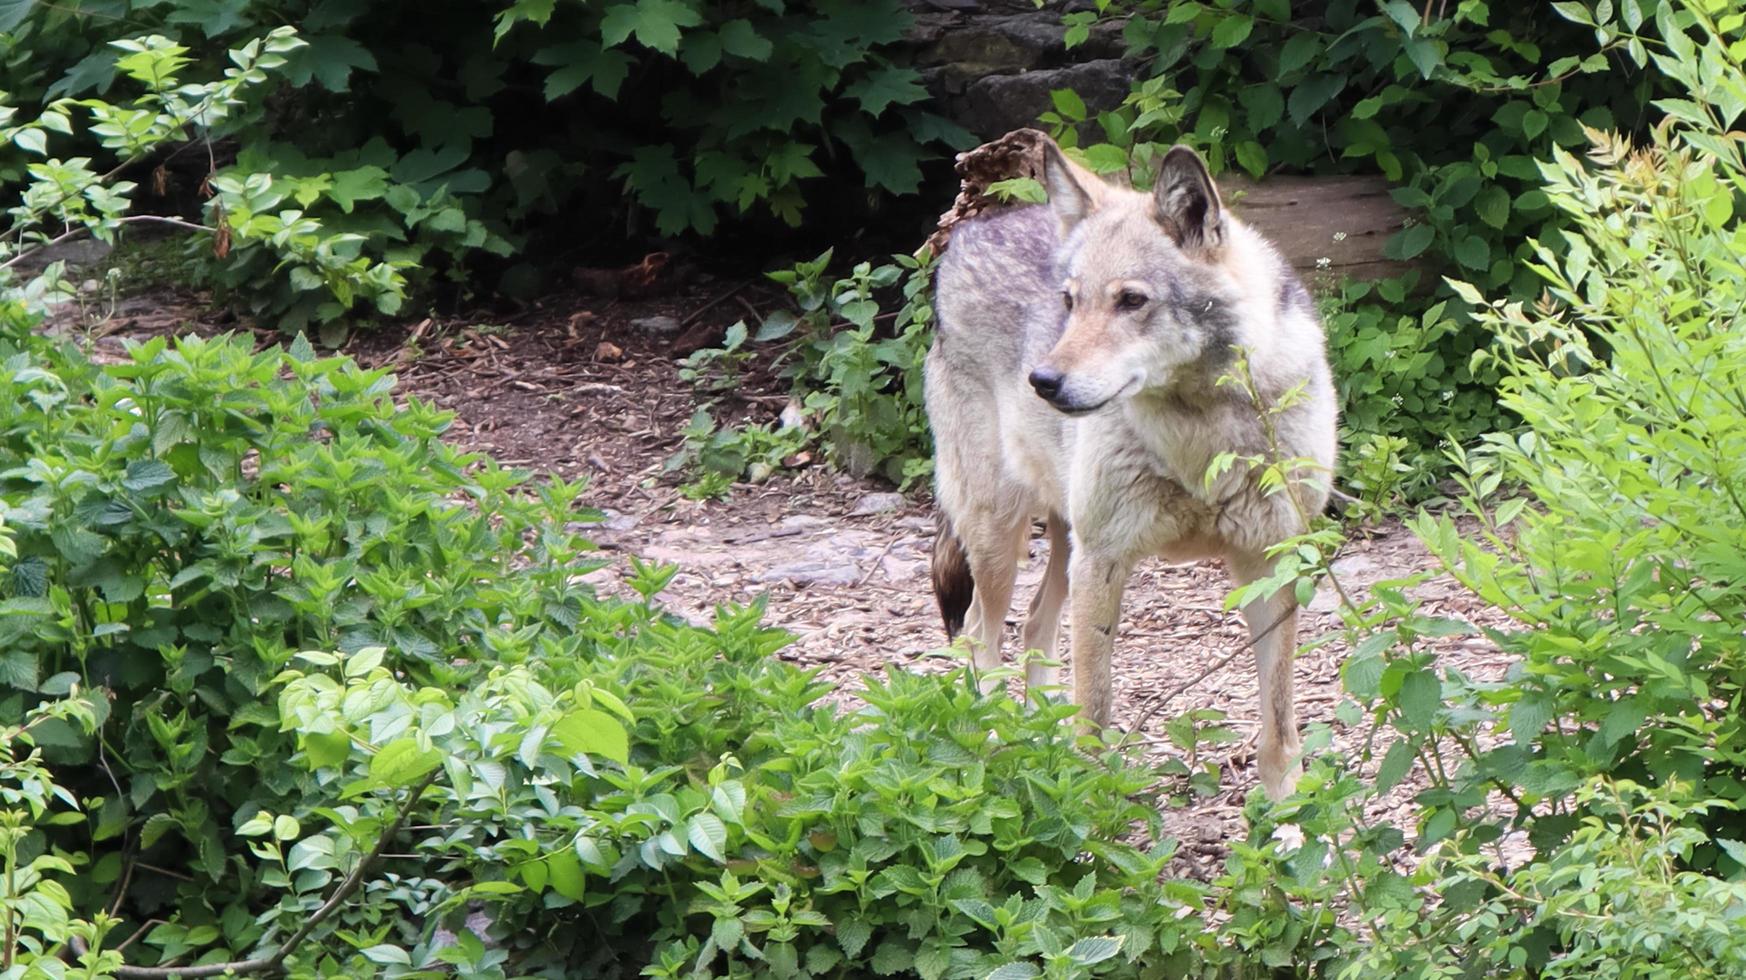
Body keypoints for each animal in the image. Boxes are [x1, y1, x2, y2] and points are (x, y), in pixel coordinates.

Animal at [928, 139, 1333, 796]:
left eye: (1131, 300)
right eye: (1070, 301)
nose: (1042, 380)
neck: (1199, 438)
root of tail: (970, 234)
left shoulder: (1270, 561)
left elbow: (1278, 724)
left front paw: (1290, 817)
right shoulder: (1106, 561)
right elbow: (1094, 713)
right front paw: (1089, 813)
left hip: (1063, 545)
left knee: (1033, 628)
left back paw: (1036, 741)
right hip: (1001, 542)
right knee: (976, 638)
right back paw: (985, 748)